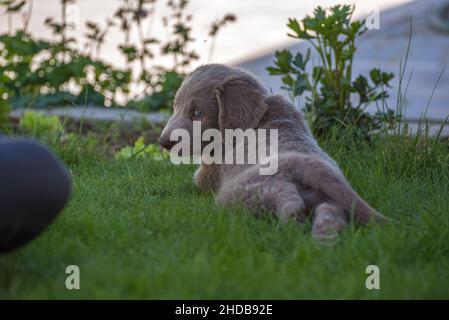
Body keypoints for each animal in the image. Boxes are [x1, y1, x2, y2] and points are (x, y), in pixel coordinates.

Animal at [159, 63, 384, 239]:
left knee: (288, 201)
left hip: (247, 189)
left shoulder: (209, 171)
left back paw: (292, 225)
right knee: (329, 212)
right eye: (175, 106)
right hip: (328, 198)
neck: (261, 116)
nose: (163, 142)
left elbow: (196, 179)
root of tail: (305, 165)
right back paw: (323, 238)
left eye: (198, 113)